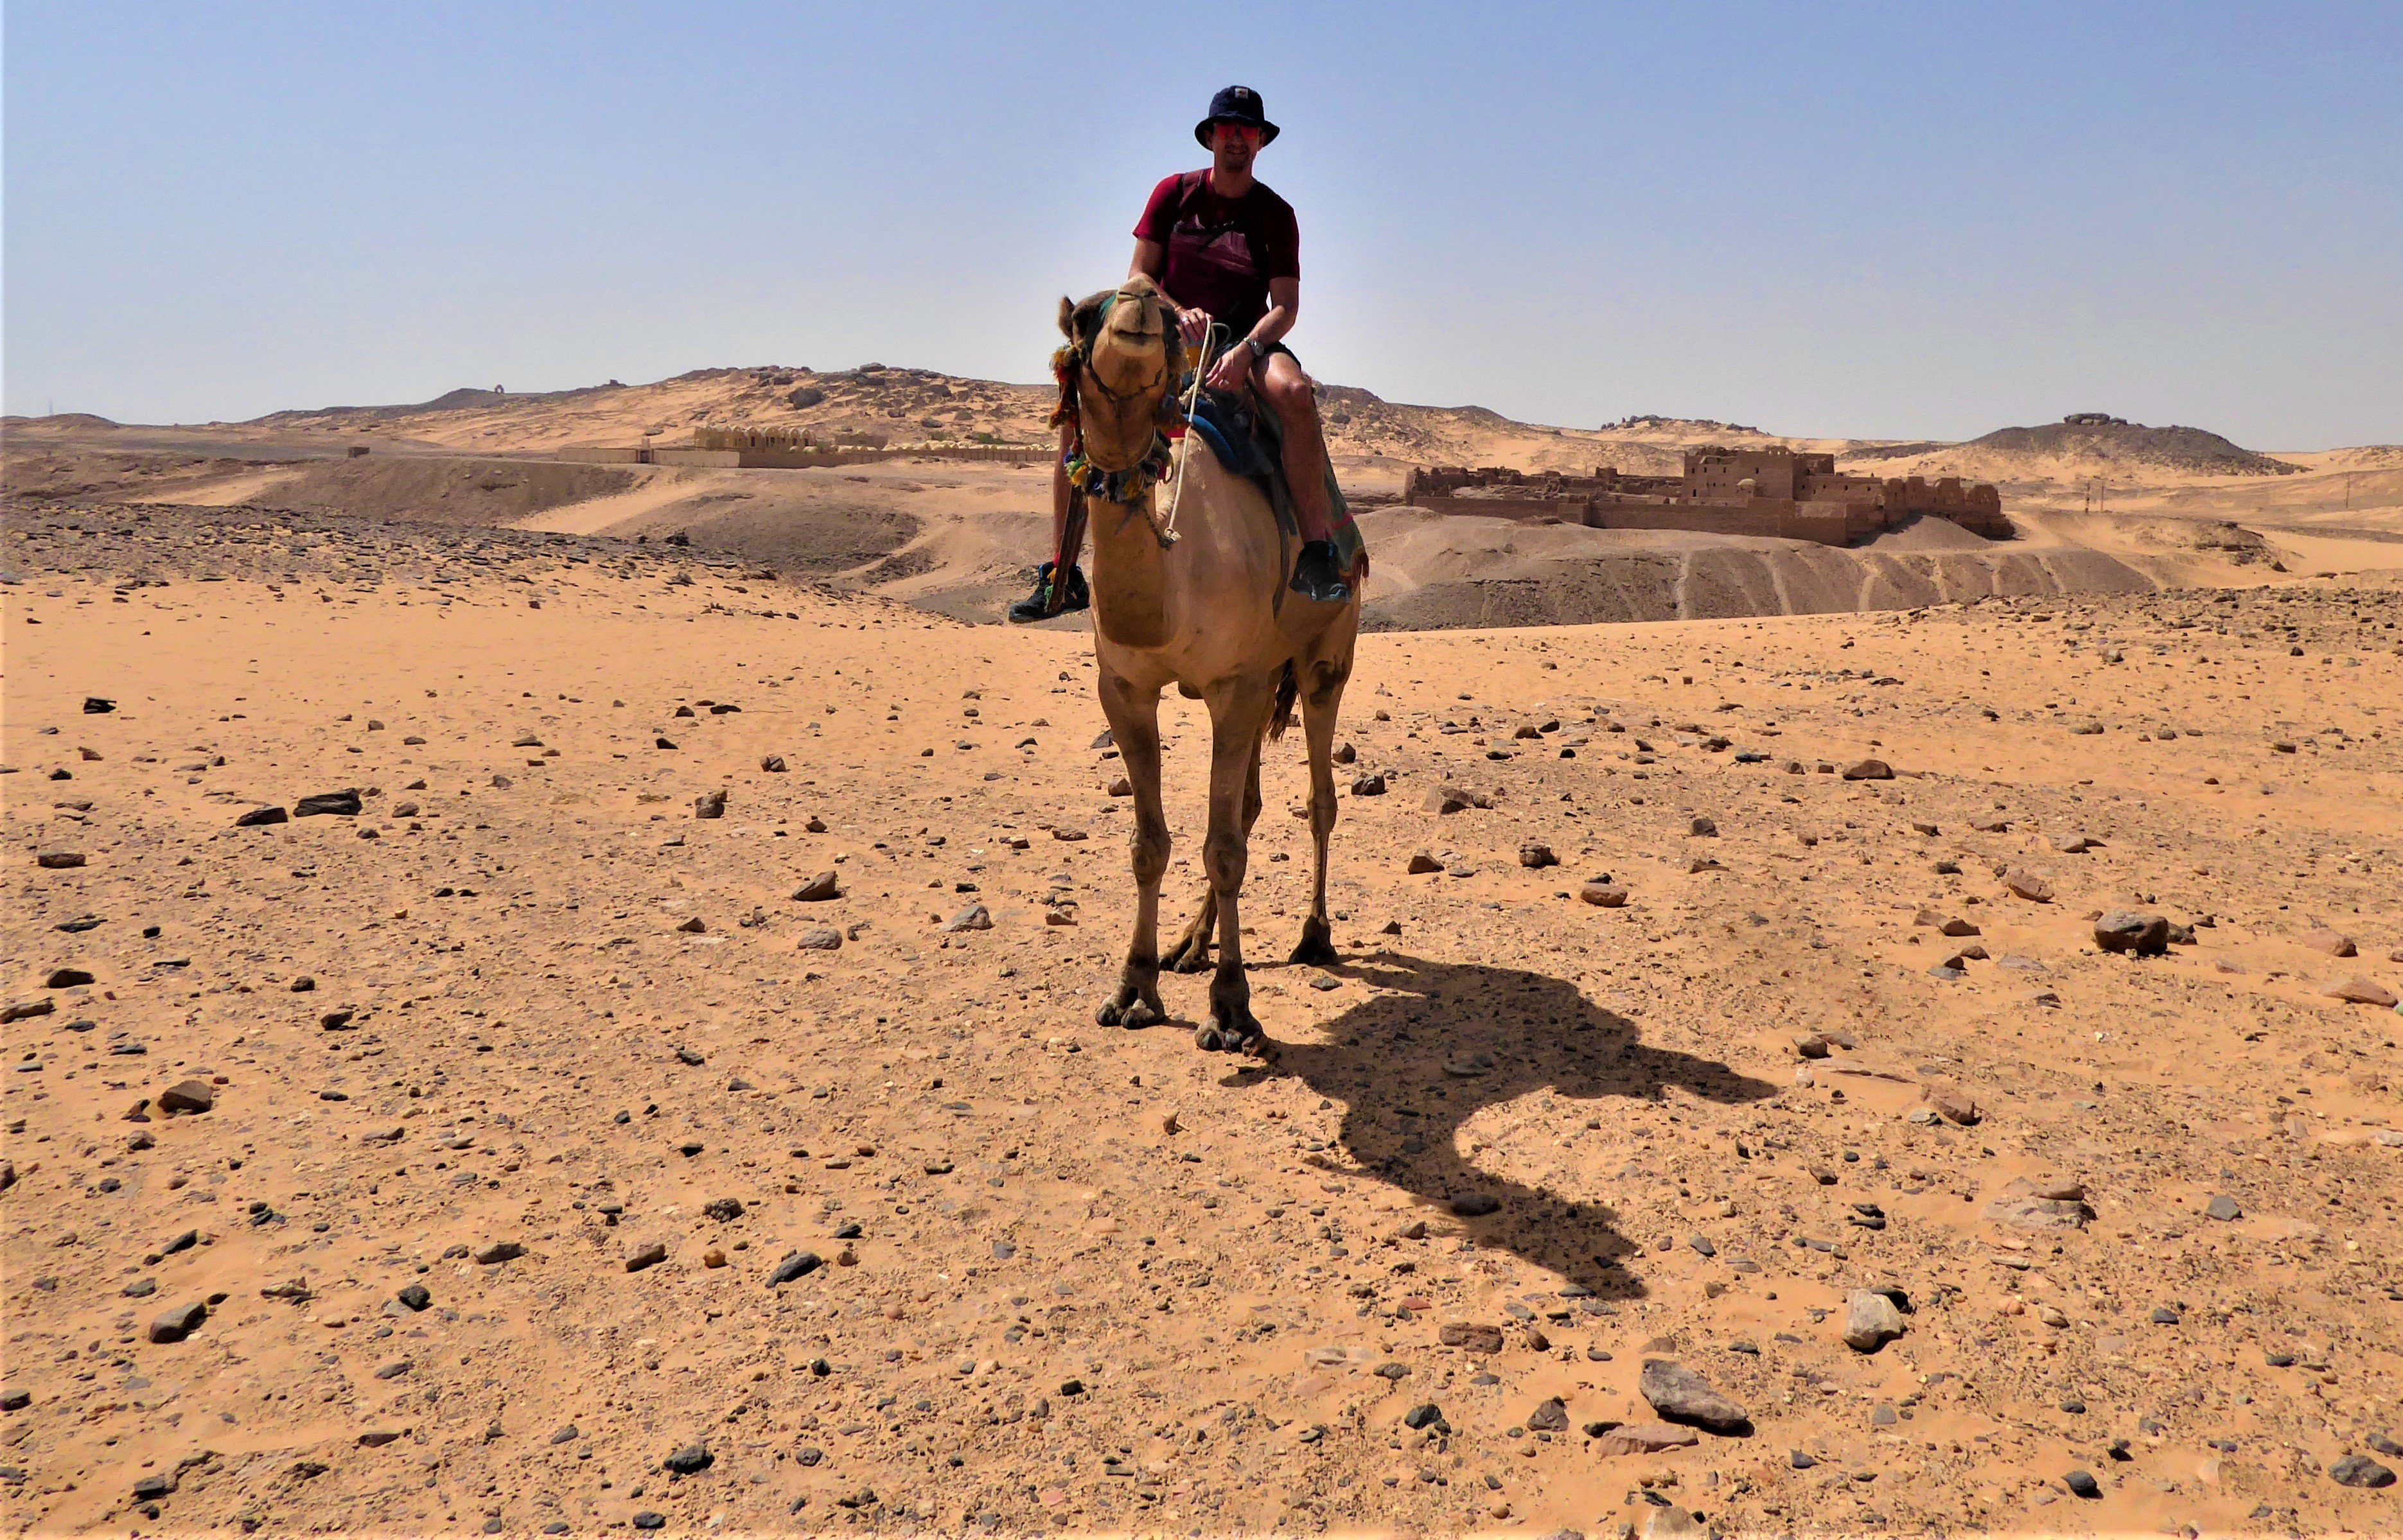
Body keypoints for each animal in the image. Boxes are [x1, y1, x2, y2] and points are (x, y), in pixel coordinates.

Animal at [1062, 274, 1364, 1047]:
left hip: (1324, 657)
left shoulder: (1236, 683)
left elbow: (1225, 848)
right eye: (1083, 316)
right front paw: (1134, 988)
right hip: (1263, 680)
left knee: (1318, 799)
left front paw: (1232, 1010)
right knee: (1250, 804)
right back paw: (1190, 945)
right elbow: (1151, 843)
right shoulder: (1125, 687)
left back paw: (1314, 935)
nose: (1140, 300)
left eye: (1172, 326)